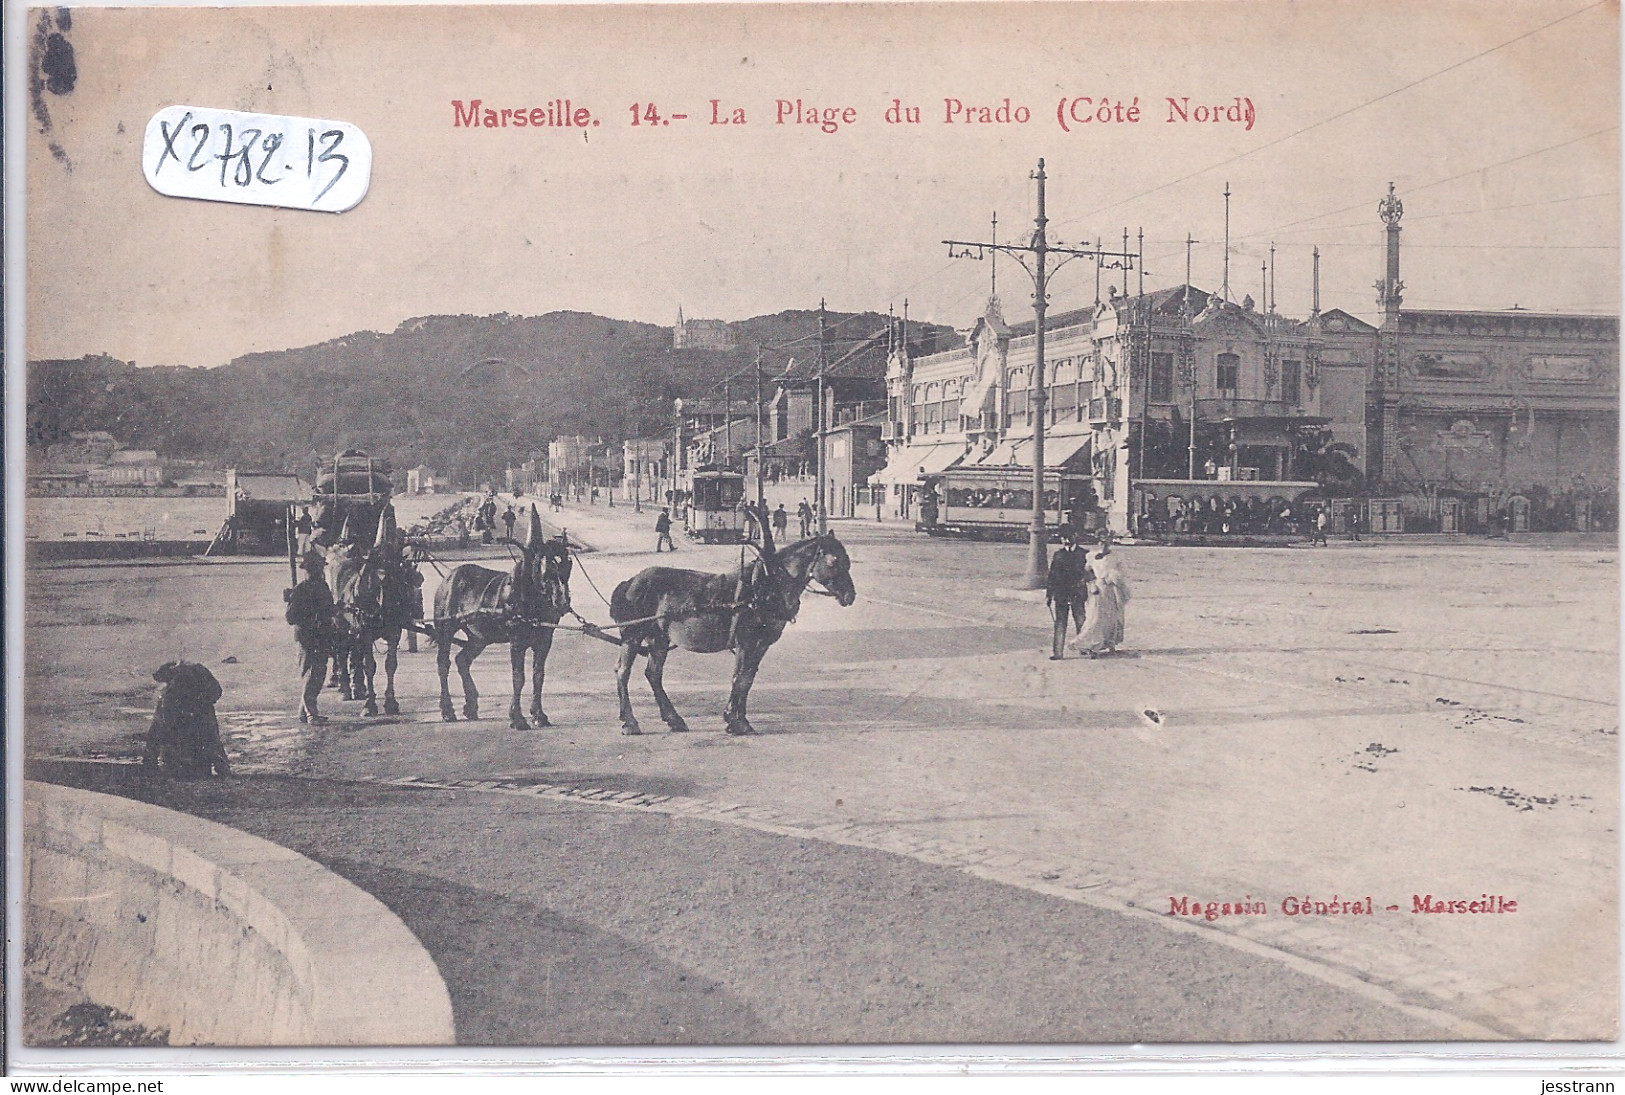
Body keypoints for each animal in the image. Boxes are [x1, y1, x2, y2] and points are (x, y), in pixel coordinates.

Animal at [435, 506, 575, 727]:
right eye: (545, 569)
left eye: (567, 567)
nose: (562, 603)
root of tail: (448, 578)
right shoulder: (517, 641)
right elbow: (519, 677)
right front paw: (517, 718)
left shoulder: (545, 640)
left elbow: (538, 675)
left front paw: (539, 715)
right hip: (445, 627)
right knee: (443, 663)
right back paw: (447, 710)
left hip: (480, 637)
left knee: (463, 660)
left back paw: (471, 706)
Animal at [611, 510, 858, 734]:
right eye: (834, 561)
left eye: (848, 560)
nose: (850, 596)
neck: (767, 586)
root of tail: (630, 582)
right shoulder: (745, 641)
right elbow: (739, 678)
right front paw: (735, 720)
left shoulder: (762, 644)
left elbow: (748, 678)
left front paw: (739, 719)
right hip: (633, 635)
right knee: (623, 671)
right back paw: (630, 722)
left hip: (659, 638)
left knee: (653, 674)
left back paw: (674, 719)